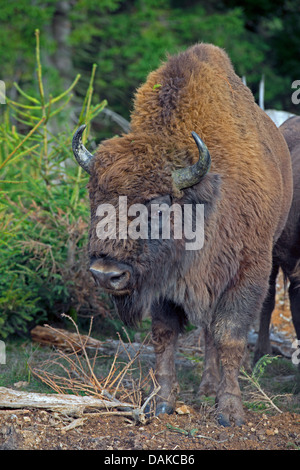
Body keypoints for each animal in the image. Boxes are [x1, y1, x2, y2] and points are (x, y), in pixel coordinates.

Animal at [71, 44, 292, 426]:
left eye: (158, 205)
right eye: (94, 197)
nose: (105, 274)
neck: (205, 200)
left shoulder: (248, 272)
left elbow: (229, 336)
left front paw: (230, 411)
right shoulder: (164, 283)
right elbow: (165, 335)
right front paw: (161, 402)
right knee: (204, 331)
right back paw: (205, 387)